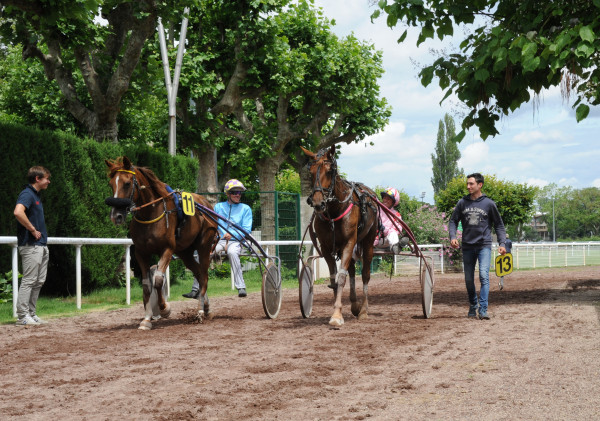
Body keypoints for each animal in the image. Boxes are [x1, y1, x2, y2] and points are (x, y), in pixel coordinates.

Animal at [105, 157, 218, 328]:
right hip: (185, 252)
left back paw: (200, 311)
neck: (150, 213)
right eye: (111, 184)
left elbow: (158, 280)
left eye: (127, 183)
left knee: (204, 276)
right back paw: (206, 307)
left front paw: (164, 308)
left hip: (204, 245)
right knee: (198, 274)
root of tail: (206, 203)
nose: (115, 216)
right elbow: (147, 284)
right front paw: (146, 320)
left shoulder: (167, 249)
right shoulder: (141, 252)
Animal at [302, 146, 378, 326]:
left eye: (330, 171)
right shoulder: (326, 247)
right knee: (351, 269)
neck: (334, 210)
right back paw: (355, 305)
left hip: (368, 241)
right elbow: (334, 278)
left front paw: (337, 315)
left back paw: (363, 310)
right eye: (311, 171)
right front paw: (338, 310)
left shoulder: (349, 242)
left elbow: (342, 277)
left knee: (365, 274)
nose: (318, 203)